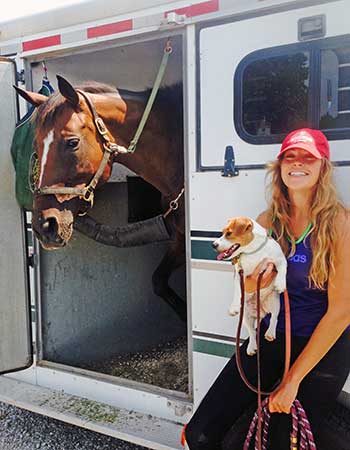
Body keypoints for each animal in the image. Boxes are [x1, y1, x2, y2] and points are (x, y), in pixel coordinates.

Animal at [213, 217, 288, 356]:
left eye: (229, 233)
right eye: (222, 232)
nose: (213, 245)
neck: (253, 252)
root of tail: (261, 312)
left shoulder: (280, 260)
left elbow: (282, 270)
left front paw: (280, 284)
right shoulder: (239, 274)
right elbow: (237, 291)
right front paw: (233, 307)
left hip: (275, 304)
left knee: (274, 318)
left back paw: (270, 333)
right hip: (245, 315)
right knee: (252, 332)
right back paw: (252, 347)